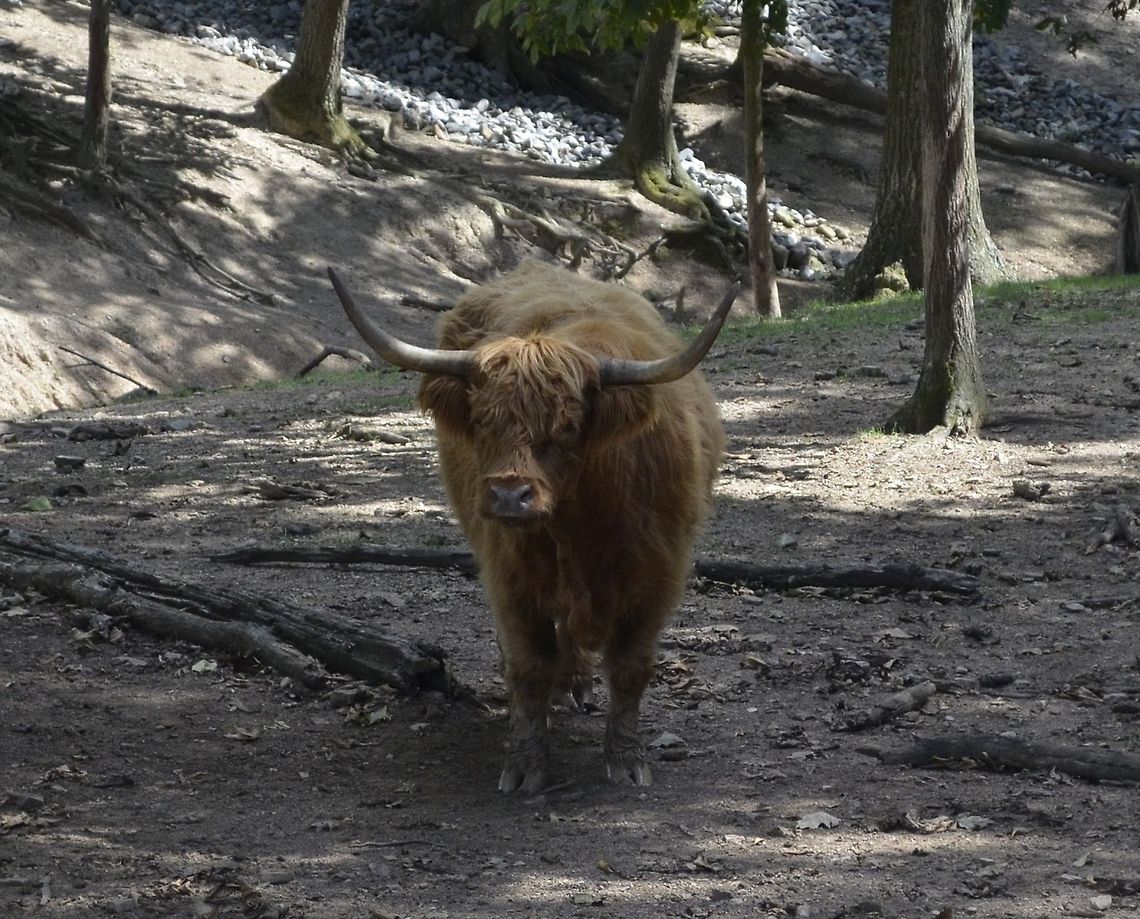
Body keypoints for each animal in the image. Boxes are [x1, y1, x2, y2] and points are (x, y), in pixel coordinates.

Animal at [328, 261, 735, 792]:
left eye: (567, 427)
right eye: (482, 420)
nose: (508, 495)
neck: (579, 524)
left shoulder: (658, 572)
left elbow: (631, 668)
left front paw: (627, 761)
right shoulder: (510, 574)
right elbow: (529, 667)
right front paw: (525, 765)